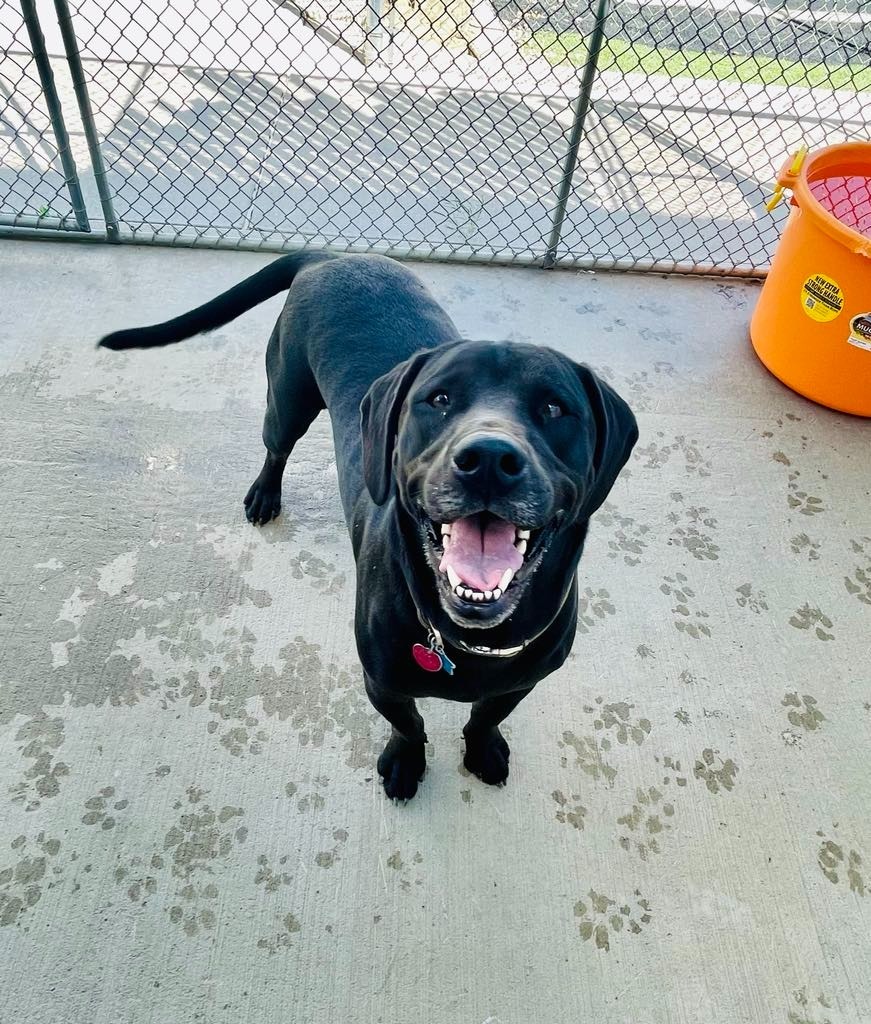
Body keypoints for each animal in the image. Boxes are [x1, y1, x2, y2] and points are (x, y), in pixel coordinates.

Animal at [98, 253, 638, 798]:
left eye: (554, 407)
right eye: (439, 399)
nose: (488, 458)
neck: (463, 638)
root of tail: (333, 256)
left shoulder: (521, 682)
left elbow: (487, 715)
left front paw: (482, 747)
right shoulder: (381, 681)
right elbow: (409, 724)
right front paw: (406, 761)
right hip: (287, 399)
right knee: (276, 447)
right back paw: (265, 493)